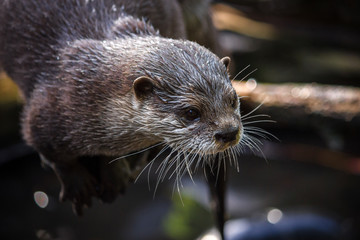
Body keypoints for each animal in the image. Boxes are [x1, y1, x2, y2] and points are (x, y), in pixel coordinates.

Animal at [0, 0, 242, 214]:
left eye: (233, 100)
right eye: (191, 112)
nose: (229, 132)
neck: (86, 88)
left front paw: (113, 173)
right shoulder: (45, 112)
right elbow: (51, 152)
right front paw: (77, 183)